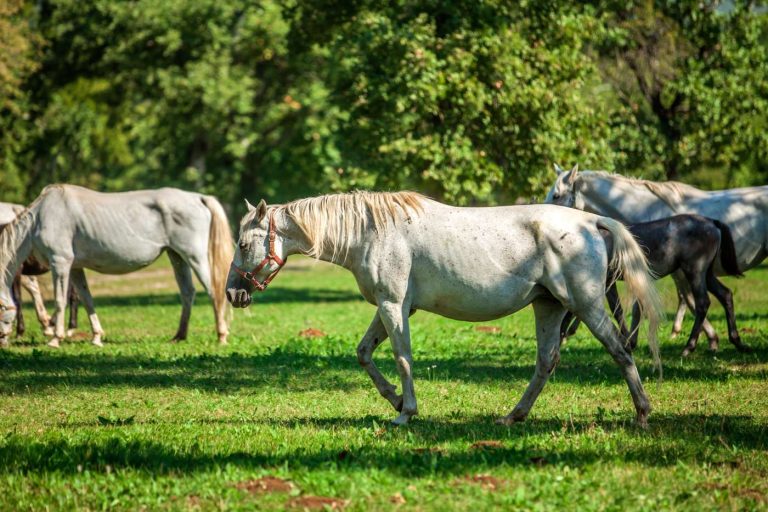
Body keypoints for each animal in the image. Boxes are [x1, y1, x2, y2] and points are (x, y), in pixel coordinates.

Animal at [0, 186, 234, 350]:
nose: (2, 342)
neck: (42, 215)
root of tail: (197, 197)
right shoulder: (75, 268)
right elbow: (87, 300)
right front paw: (96, 337)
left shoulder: (60, 263)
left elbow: (60, 301)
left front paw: (56, 338)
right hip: (177, 257)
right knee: (187, 293)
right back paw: (179, 336)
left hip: (195, 257)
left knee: (214, 291)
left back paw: (221, 336)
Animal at [225, 190, 664, 426]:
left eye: (243, 244)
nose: (232, 294)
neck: (372, 232)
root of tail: (591, 222)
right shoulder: (391, 308)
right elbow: (365, 354)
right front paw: (395, 400)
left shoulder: (393, 307)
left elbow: (402, 358)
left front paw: (406, 412)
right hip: (549, 307)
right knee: (546, 363)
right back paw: (513, 416)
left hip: (585, 305)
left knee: (620, 350)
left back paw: (642, 414)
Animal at [560, 215, 748, 356]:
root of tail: (711, 221)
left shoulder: (608, 281)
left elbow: (616, 309)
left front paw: (627, 341)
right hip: (707, 274)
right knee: (725, 295)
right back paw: (737, 341)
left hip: (695, 271)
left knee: (703, 303)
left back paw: (688, 347)